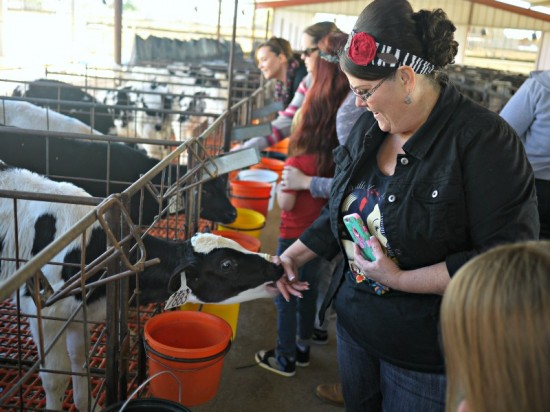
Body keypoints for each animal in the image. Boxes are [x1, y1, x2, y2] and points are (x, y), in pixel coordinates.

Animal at [0, 162, 282, 412]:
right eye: (226, 264)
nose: (278, 267)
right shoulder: (46, 315)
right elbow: (55, 379)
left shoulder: (78, 314)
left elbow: (80, 362)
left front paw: (88, 404)